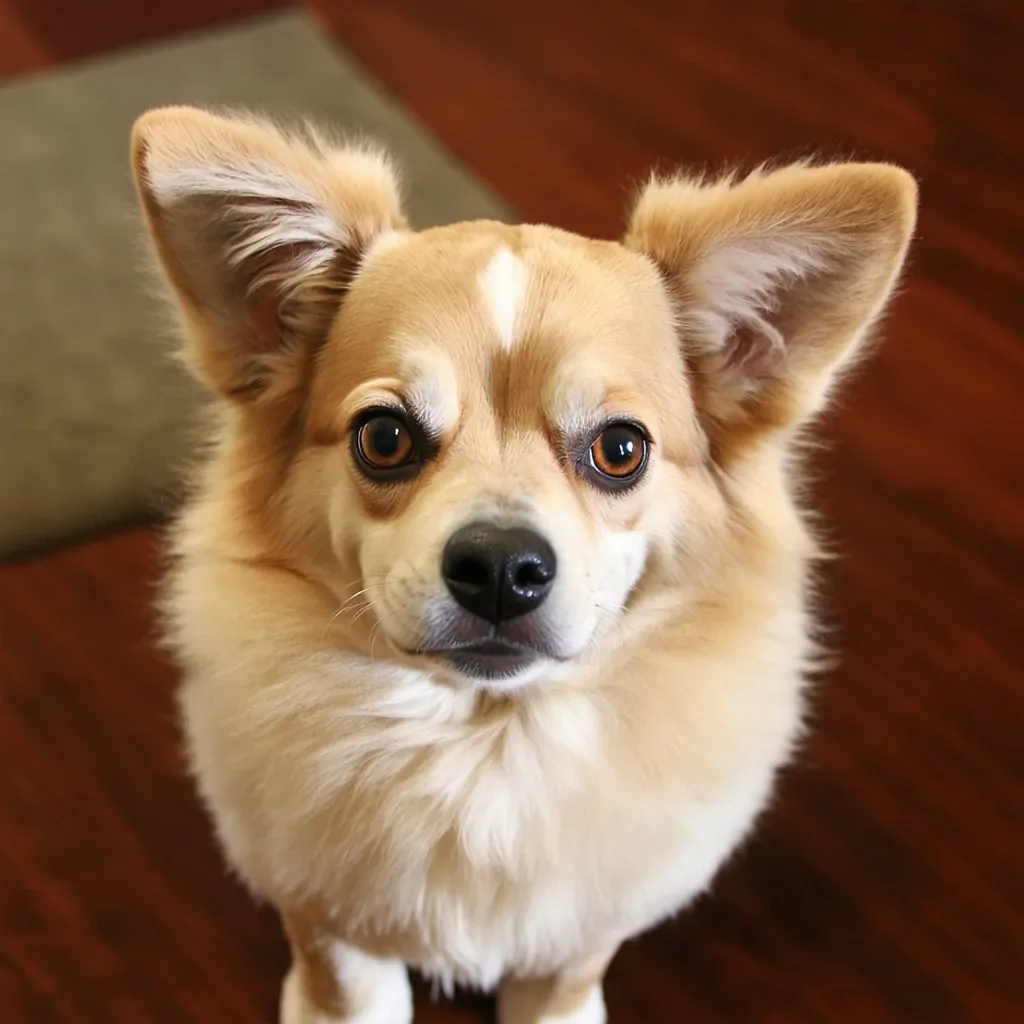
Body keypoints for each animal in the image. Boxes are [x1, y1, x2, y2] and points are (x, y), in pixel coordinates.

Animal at [130, 108, 921, 1019]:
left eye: (621, 450)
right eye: (383, 437)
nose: (503, 565)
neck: (488, 740)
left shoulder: (582, 926)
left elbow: (563, 981)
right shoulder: (328, 914)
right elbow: (349, 990)